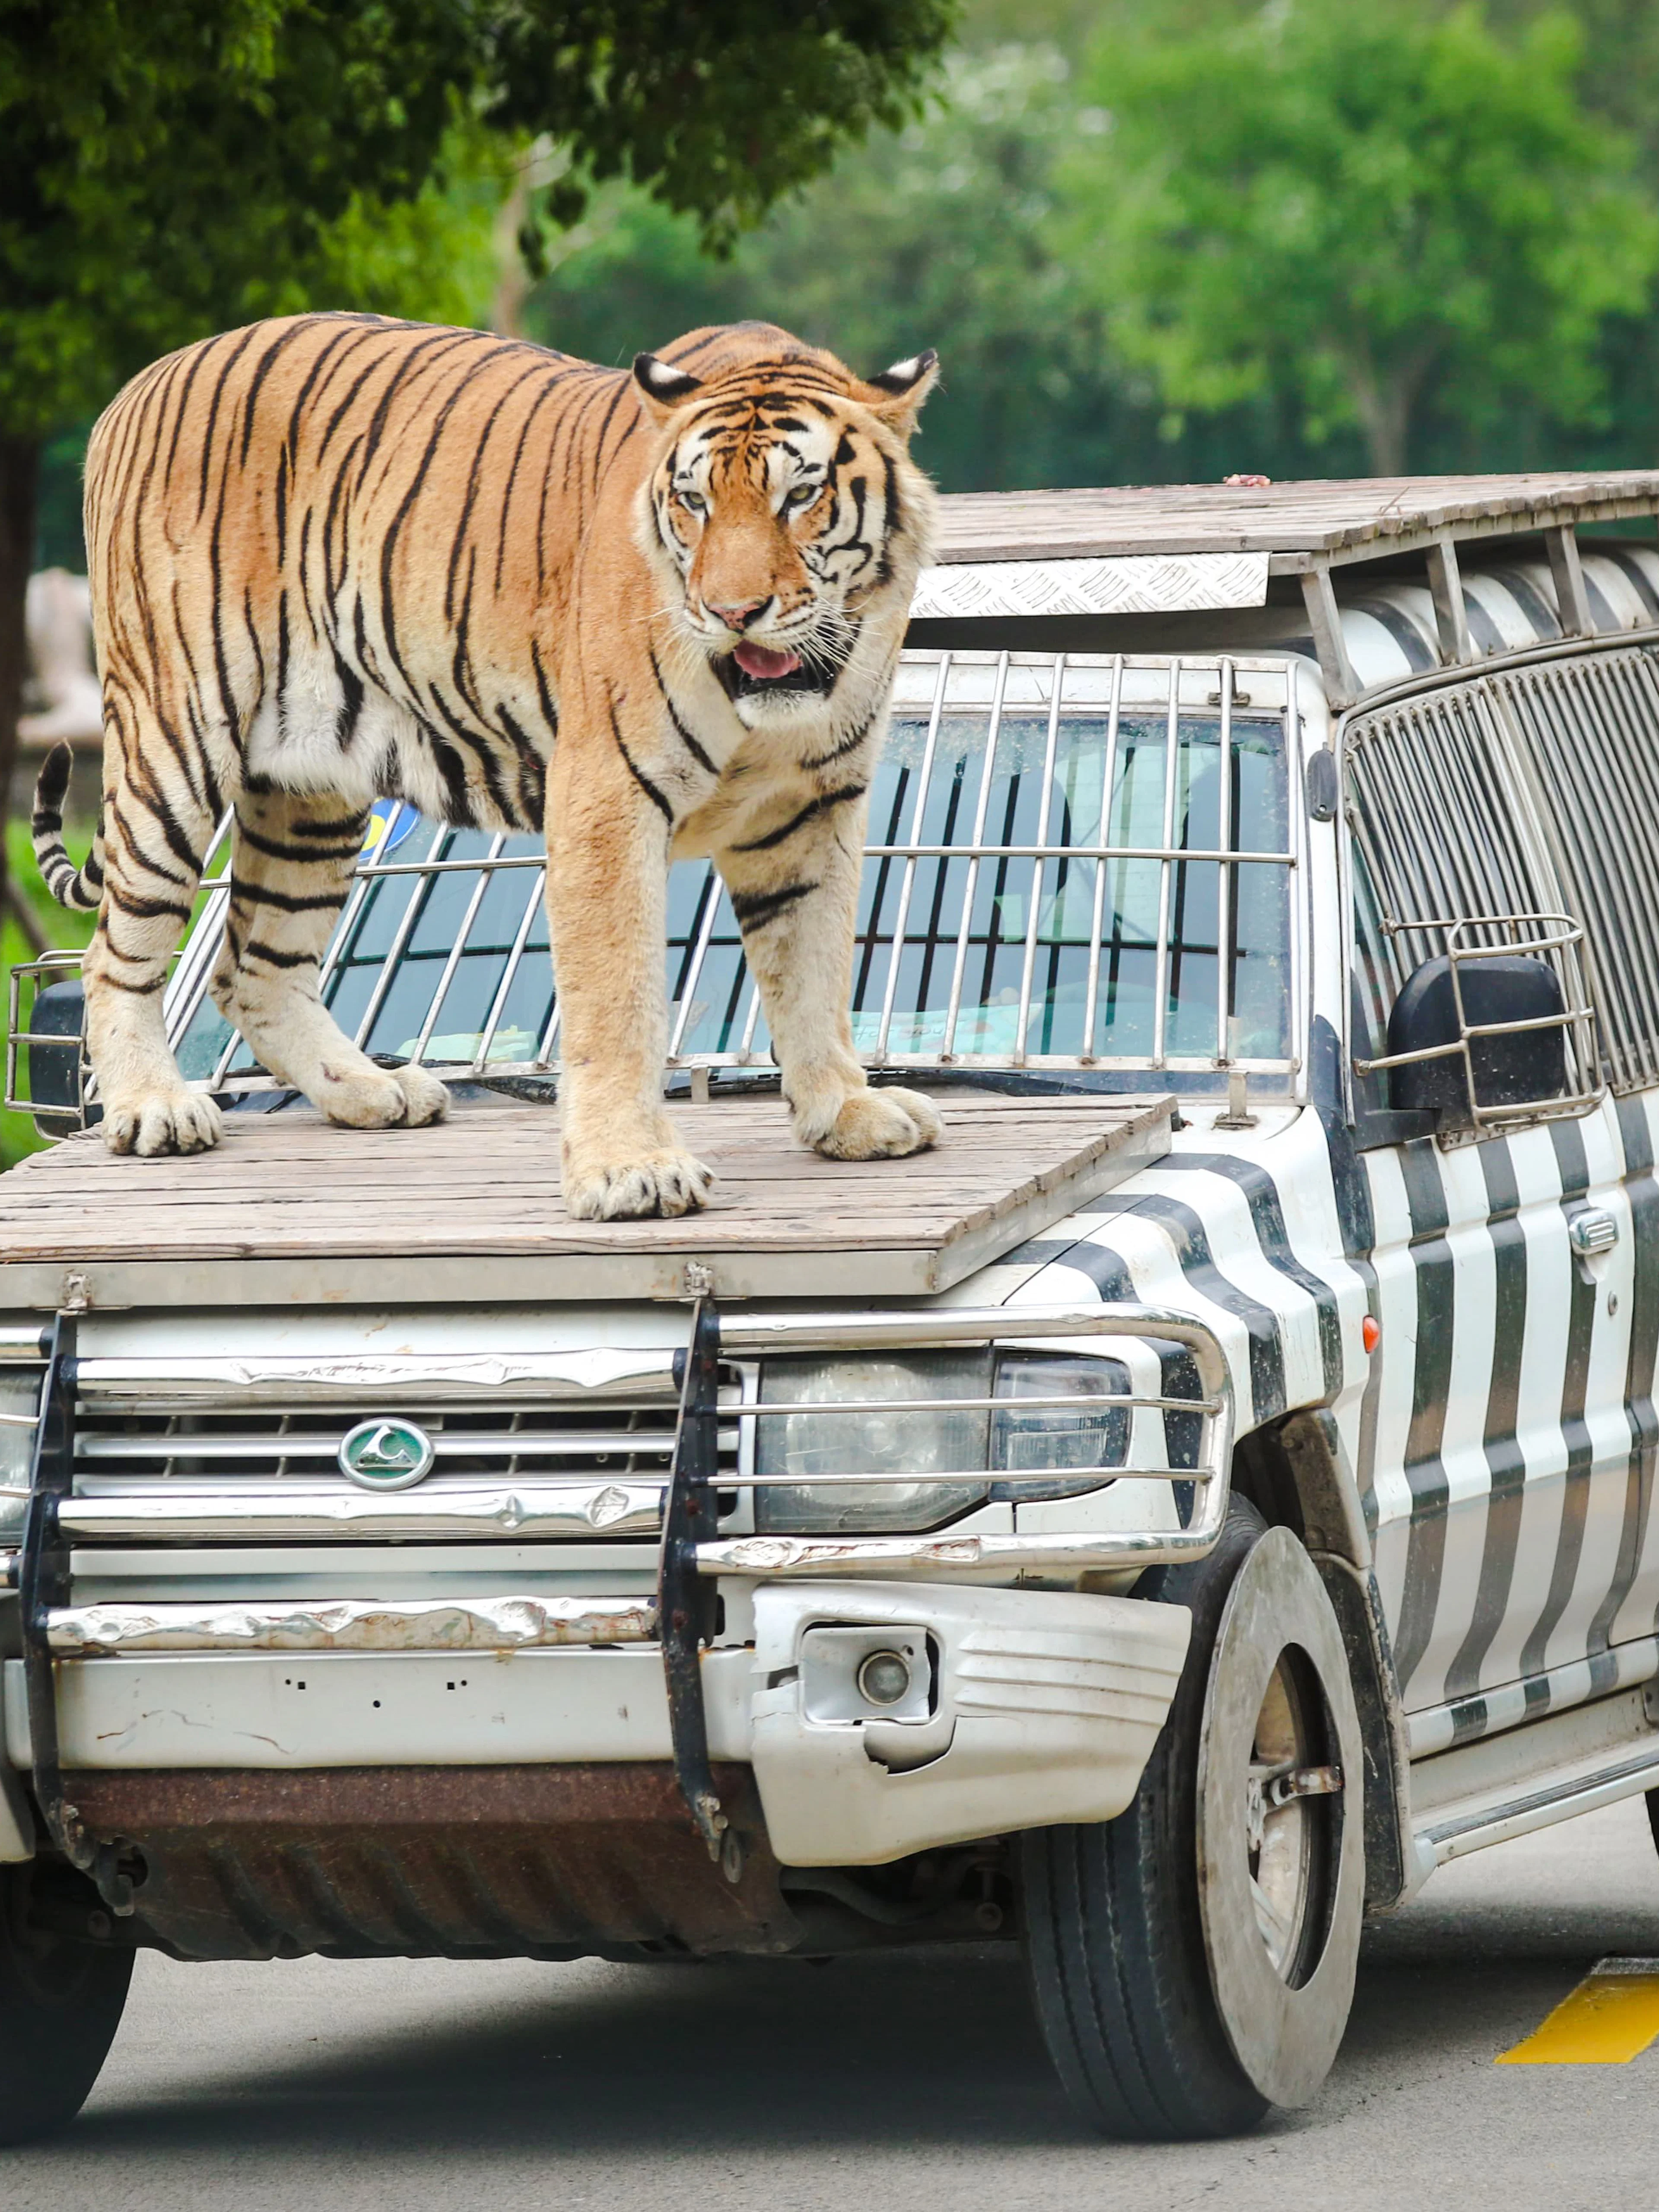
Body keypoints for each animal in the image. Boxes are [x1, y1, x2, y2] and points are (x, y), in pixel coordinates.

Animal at [30, 312, 945, 1219]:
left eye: (801, 498)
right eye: (695, 503)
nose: (731, 612)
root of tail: (138, 386)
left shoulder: (812, 806)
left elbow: (814, 971)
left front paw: (846, 1112)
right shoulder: (608, 795)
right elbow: (619, 998)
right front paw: (632, 1169)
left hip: (309, 786)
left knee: (256, 968)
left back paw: (375, 1091)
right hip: (175, 732)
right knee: (115, 950)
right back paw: (155, 1108)